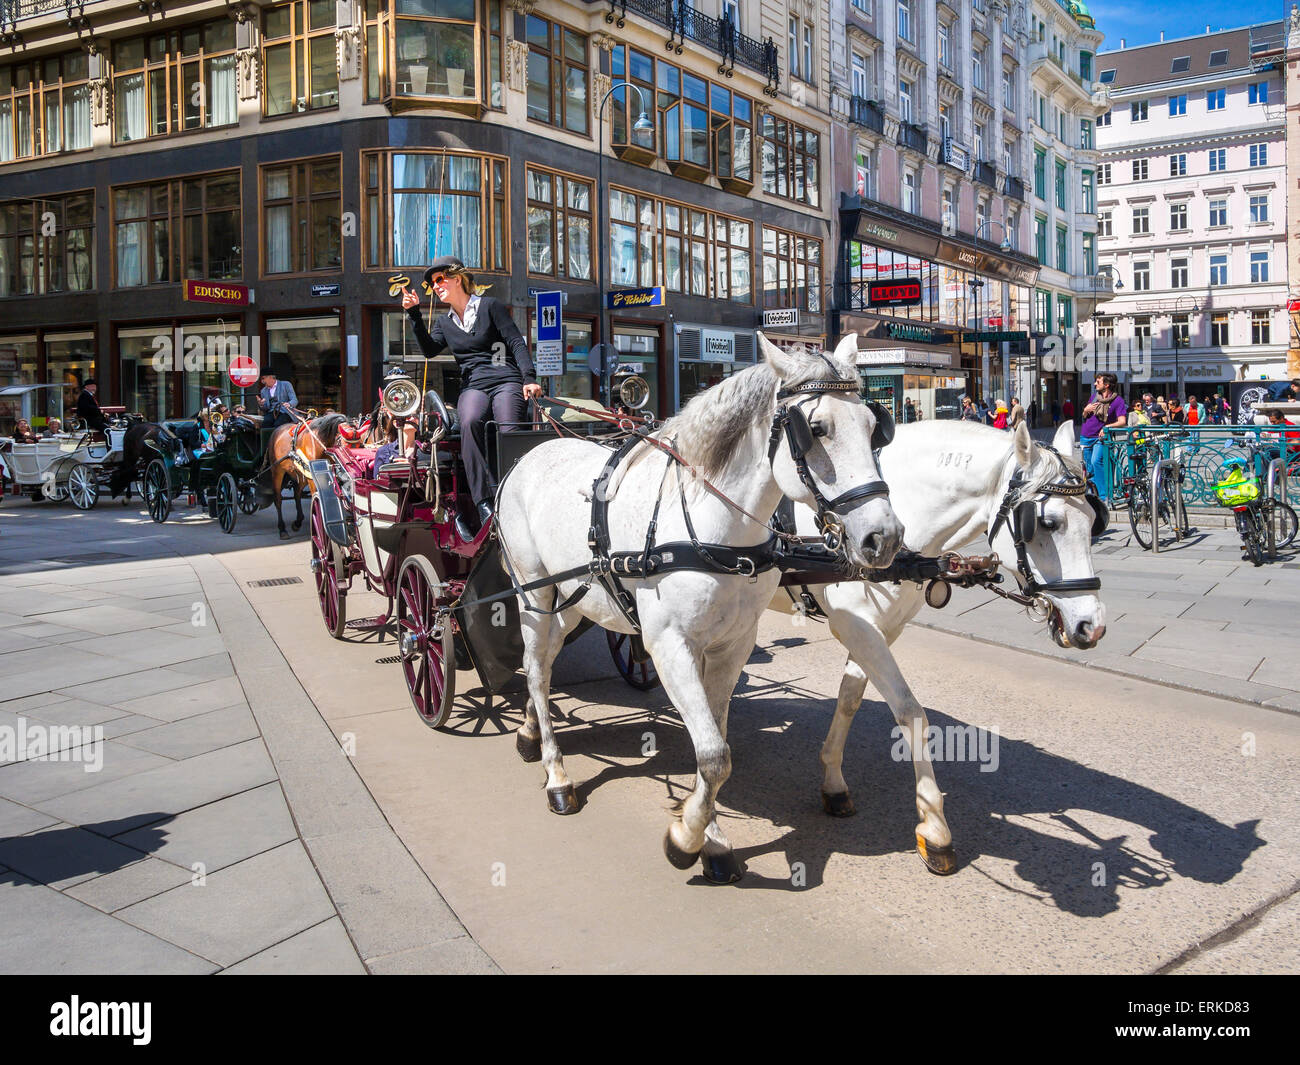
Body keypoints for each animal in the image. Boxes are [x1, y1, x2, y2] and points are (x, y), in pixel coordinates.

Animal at [265, 410, 348, 538]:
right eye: (344, 444)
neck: (320, 441)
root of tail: (276, 430)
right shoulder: (314, 478)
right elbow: (317, 498)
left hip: (301, 473)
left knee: (297, 493)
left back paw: (298, 522)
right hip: (277, 471)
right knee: (278, 499)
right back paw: (282, 529)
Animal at [496, 335, 904, 884]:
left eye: (872, 425)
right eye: (816, 429)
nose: (884, 538)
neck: (716, 532)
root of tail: (531, 452)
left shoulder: (733, 645)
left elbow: (717, 741)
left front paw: (710, 838)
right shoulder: (670, 646)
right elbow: (713, 754)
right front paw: (686, 839)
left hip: (576, 597)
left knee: (544, 659)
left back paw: (527, 732)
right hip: (533, 592)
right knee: (538, 672)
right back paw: (556, 774)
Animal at [785, 421, 1102, 879]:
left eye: (1094, 519)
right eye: (1048, 523)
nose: (1091, 626)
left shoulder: (880, 627)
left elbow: (850, 699)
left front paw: (833, 781)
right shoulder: (852, 623)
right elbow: (910, 712)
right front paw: (934, 828)